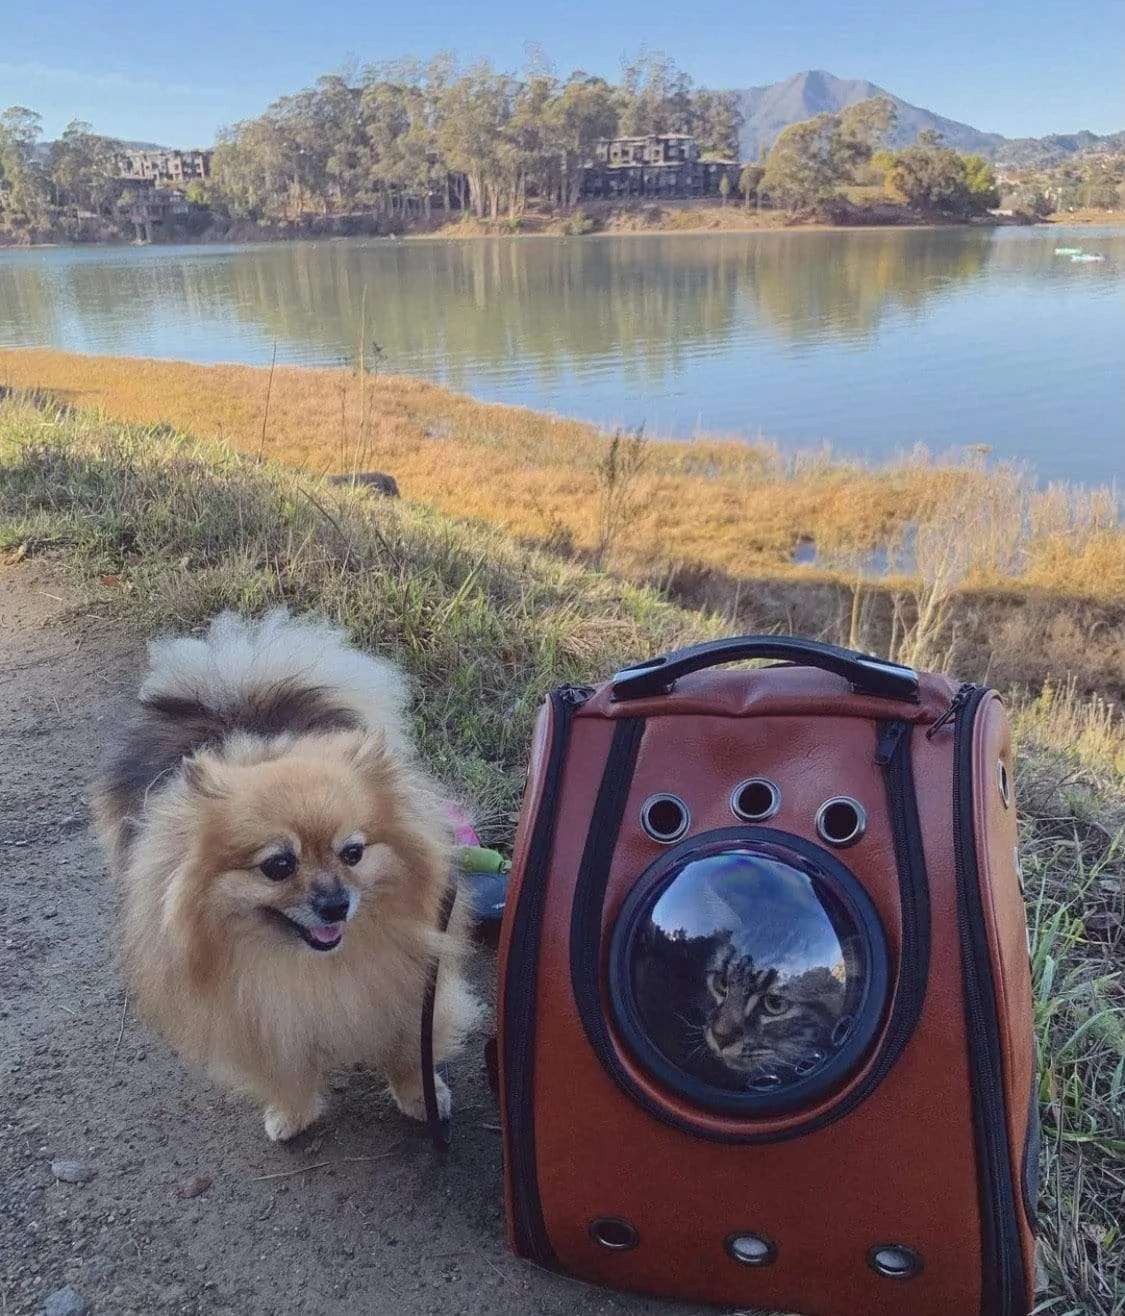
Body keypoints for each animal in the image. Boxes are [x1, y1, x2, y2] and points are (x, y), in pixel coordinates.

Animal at [93, 607, 484, 1142]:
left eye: (352, 853)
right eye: (278, 866)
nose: (335, 905)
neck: (312, 965)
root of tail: (238, 703)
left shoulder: (415, 986)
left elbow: (410, 1051)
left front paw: (423, 1097)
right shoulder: (254, 1018)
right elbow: (282, 1070)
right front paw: (290, 1113)